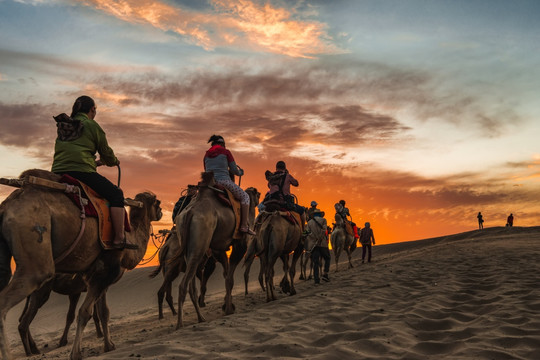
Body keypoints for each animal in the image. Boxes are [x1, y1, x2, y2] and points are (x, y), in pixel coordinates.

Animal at [0, 169, 162, 360]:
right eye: (157, 202)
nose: (160, 212)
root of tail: (9, 205)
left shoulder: (100, 279)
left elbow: (104, 312)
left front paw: (109, 346)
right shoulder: (102, 273)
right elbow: (85, 312)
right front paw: (76, 353)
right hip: (36, 249)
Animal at [173, 172, 258, 330]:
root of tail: (190, 213)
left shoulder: (218, 249)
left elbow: (226, 274)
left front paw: (227, 306)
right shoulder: (240, 244)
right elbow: (230, 278)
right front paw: (229, 309)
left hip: (189, 248)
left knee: (191, 285)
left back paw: (201, 318)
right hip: (200, 242)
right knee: (183, 285)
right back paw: (180, 324)